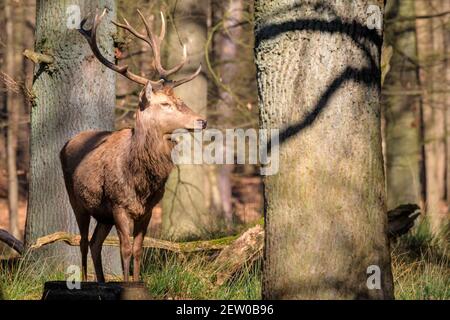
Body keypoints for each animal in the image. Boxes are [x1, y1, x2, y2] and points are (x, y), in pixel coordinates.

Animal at [59, 8, 207, 282]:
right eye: (165, 104)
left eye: (179, 99)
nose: (202, 120)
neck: (140, 180)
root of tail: (67, 143)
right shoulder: (119, 204)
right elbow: (125, 250)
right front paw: (127, 284)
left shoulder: (148, 209)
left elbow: (139, 250)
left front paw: (138, 282)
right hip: (78, 201)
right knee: (83, 242)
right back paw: (85, 280)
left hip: (103, 214)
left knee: (95, 243)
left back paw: (102, 282)